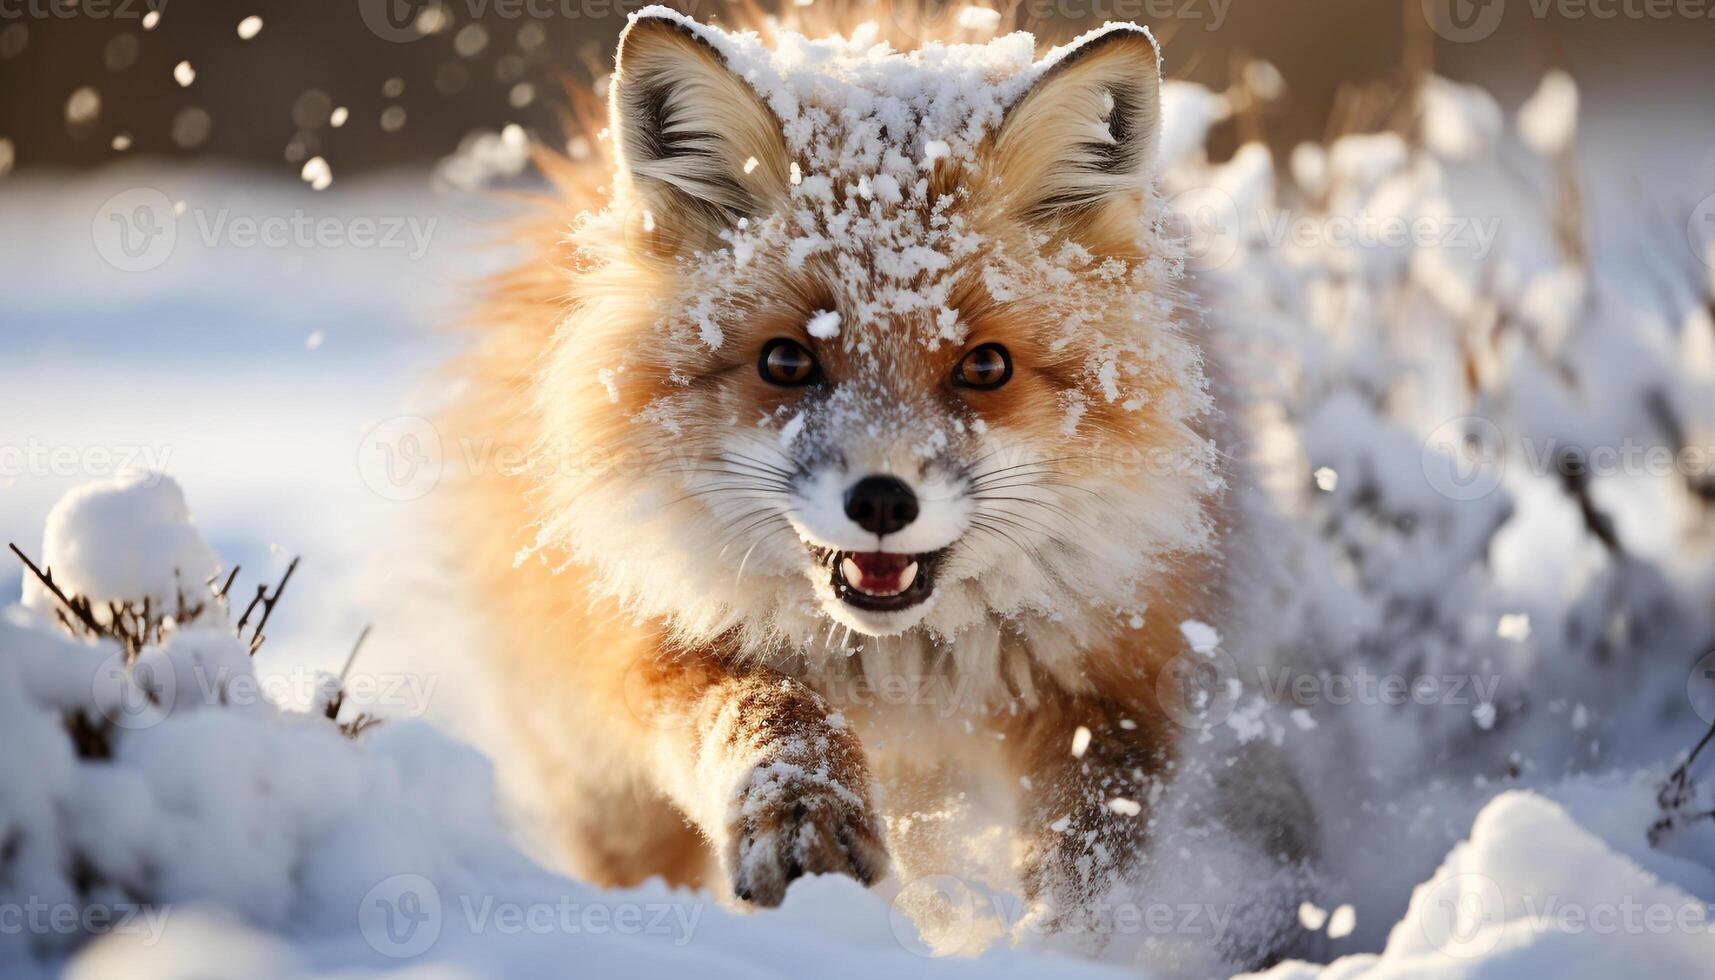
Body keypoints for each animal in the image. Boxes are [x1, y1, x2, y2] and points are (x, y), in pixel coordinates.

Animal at [445, 0, 1310, 954]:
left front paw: (1069, 943)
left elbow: (1095, 842)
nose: (882, 500)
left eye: (984, 366)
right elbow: (774, 717)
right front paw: (802, 824)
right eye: (787, 361)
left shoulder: (1112, 675)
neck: (902, 672)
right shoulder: (658, 642)